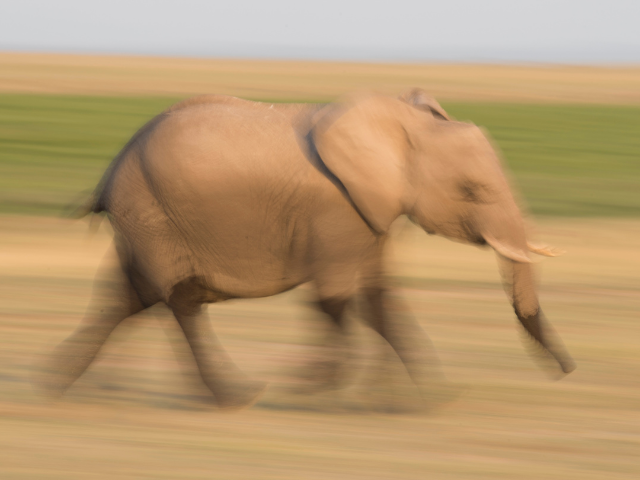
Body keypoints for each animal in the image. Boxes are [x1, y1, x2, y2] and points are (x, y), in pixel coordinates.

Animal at [34, 89, 575, 409]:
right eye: (473, 191)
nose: (568, 371)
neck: (400, 121)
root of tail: (110, 170)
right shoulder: (336, 210)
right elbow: (336, 299)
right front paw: (313, 391)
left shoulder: (370, 212)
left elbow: (378, 299)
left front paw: (419, 399)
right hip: (152, 214)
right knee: (178, 300)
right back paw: (238, 395)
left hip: (143, 220)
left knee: (128, 297)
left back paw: (59, 383)